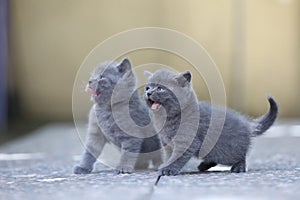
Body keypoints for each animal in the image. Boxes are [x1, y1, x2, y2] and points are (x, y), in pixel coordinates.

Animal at [144, 69, 278, 176]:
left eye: (160, 88)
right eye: (147, 87)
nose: (148, 93)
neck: (166, 119)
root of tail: (247, 124)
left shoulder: (187, 141)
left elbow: (177, 157)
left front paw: (168, 169)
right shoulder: (166, 143)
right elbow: (168, 155)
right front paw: (165, 165)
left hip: (226, 151)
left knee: (240, 156)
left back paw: (238, 168)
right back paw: (203, 166)